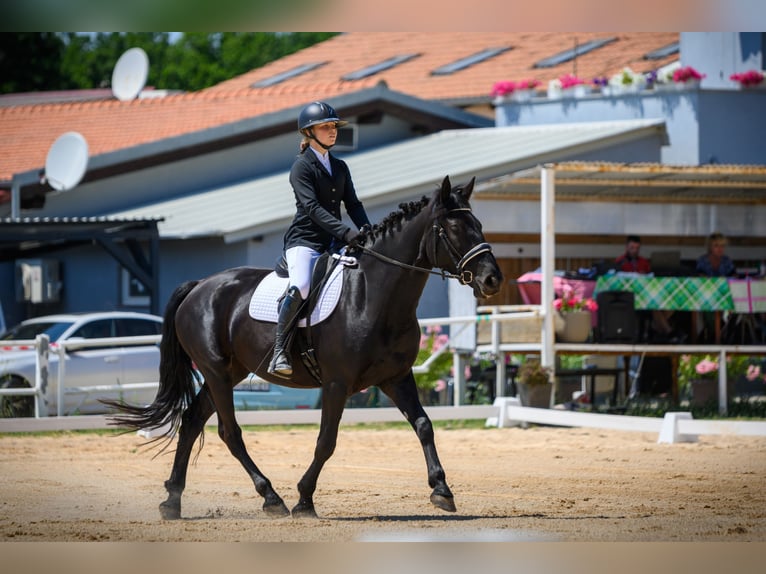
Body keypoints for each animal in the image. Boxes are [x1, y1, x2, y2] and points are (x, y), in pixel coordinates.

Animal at [106, 175, 503, 520]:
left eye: (479, 224)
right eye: (454, 229)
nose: (492, 280)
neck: (374, 295)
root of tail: (200, 285)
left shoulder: (396, 377)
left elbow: (423, 425)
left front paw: (442, 490)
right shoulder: (337, 384)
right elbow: (326, 441)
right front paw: (304, 499)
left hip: (229, 373)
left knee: (190, 423)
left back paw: (172, 500)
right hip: (216, 372)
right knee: (229, 433)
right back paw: (272, 498)